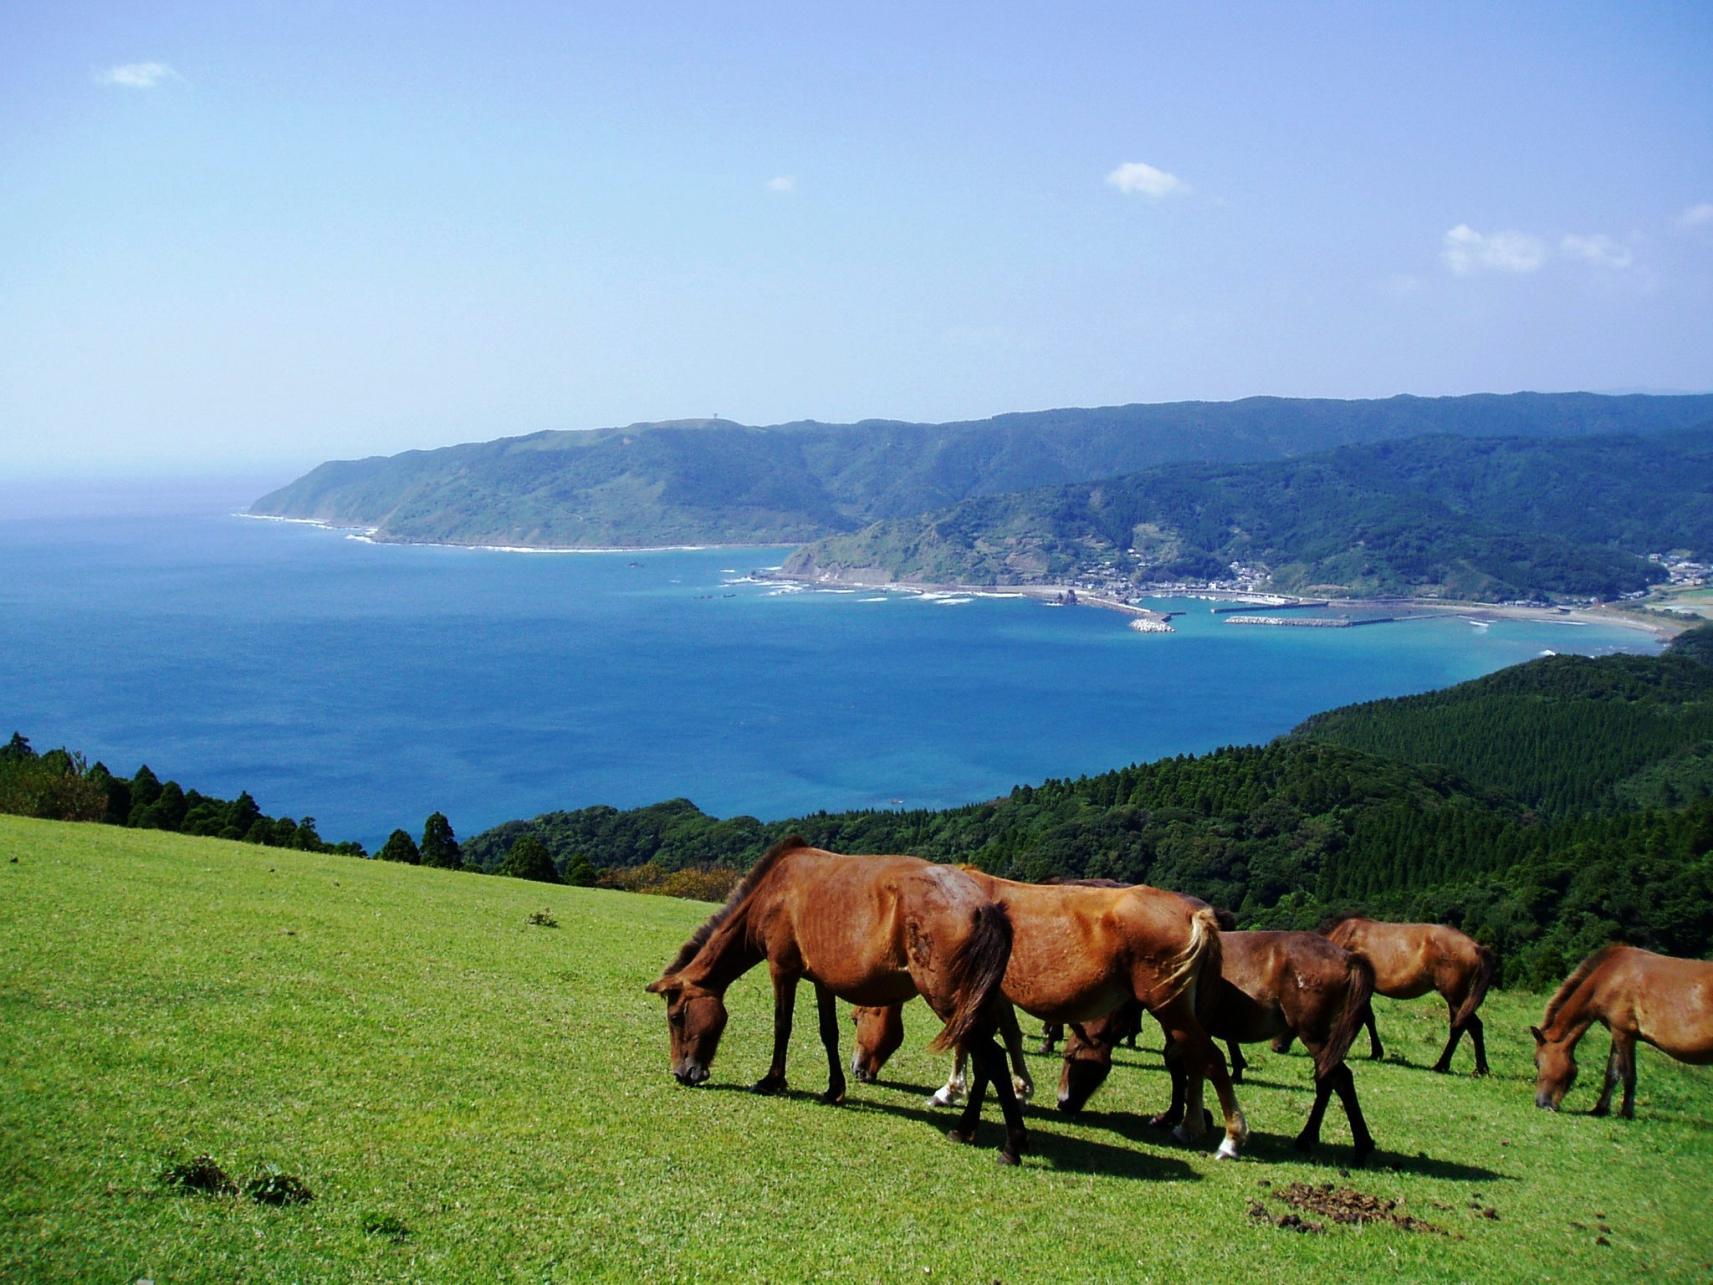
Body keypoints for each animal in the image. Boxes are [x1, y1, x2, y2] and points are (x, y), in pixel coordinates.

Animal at [644, 836, 1027, 1165]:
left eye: (675, 1017)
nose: (682, 1072)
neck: (773, 891)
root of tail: (987, 908)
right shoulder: (821, 980)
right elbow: (828, 1033)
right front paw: (834, 1089)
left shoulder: (782, 968)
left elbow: (782, 1026)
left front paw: (772, 1080)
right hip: (973, 1006)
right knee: (985, 1060)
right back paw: (966, 1128)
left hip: (948, 1000)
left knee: (992, 1057)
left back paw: (1011, 1145)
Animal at [842, 870, 1247, 1165]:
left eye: (857, 1017)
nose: (858, 1069)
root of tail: (1198, 915)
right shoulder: (993, 998)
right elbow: (1008, 1037)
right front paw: (1020, 1090)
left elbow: (972, 1042)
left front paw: (950, 1091)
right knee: (1191, 1059)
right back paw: (1190, 1123)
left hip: (1170, 1007)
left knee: (1210, 1059)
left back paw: (1230, 1138)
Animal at [1055, 938, 1377, 1165]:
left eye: (1070, 1058)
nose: (1062, 1103)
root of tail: (1348, 956)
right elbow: (1189, 1066)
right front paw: (1188, 1117)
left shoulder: (1177, 1024)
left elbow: (1177, 1064)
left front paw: (1176, 1117)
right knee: (1327, 1079)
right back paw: (1311, 1138)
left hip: (1315, 1035)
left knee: (1338, 1079)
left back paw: (1357, 1145)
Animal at [1315, 918, 1493, 1075]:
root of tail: (1476, 947)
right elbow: (1369, 1018)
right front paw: (1376, 1052)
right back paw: (1478, 1068)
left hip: (1455, 998)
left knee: (1466, 1027)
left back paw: (1446, 1065)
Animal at [1534, 945, 1713, 1117]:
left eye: (1537, 1062)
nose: (1541, 1103)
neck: (1610, 976)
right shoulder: (1617, 1032)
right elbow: (1612, 1073)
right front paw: (1599, 1109)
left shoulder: (1624, 1033)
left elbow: (1628, 1075)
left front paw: (1626, 1113)